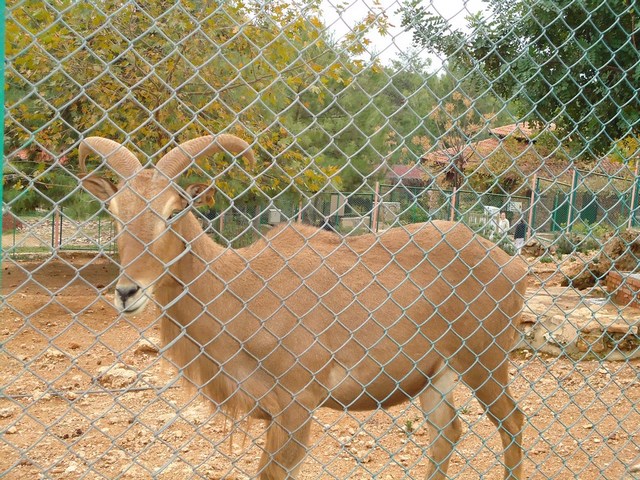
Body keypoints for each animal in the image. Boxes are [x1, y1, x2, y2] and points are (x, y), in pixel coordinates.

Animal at [80, 135, 528, 480]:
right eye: (114, 212)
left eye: (174, 212)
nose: (127, 291)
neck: (238, 287)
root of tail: (512, 266)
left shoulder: (297, 404)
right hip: (437, 375)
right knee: (447, 433)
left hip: (486, 362)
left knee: (512, 422)